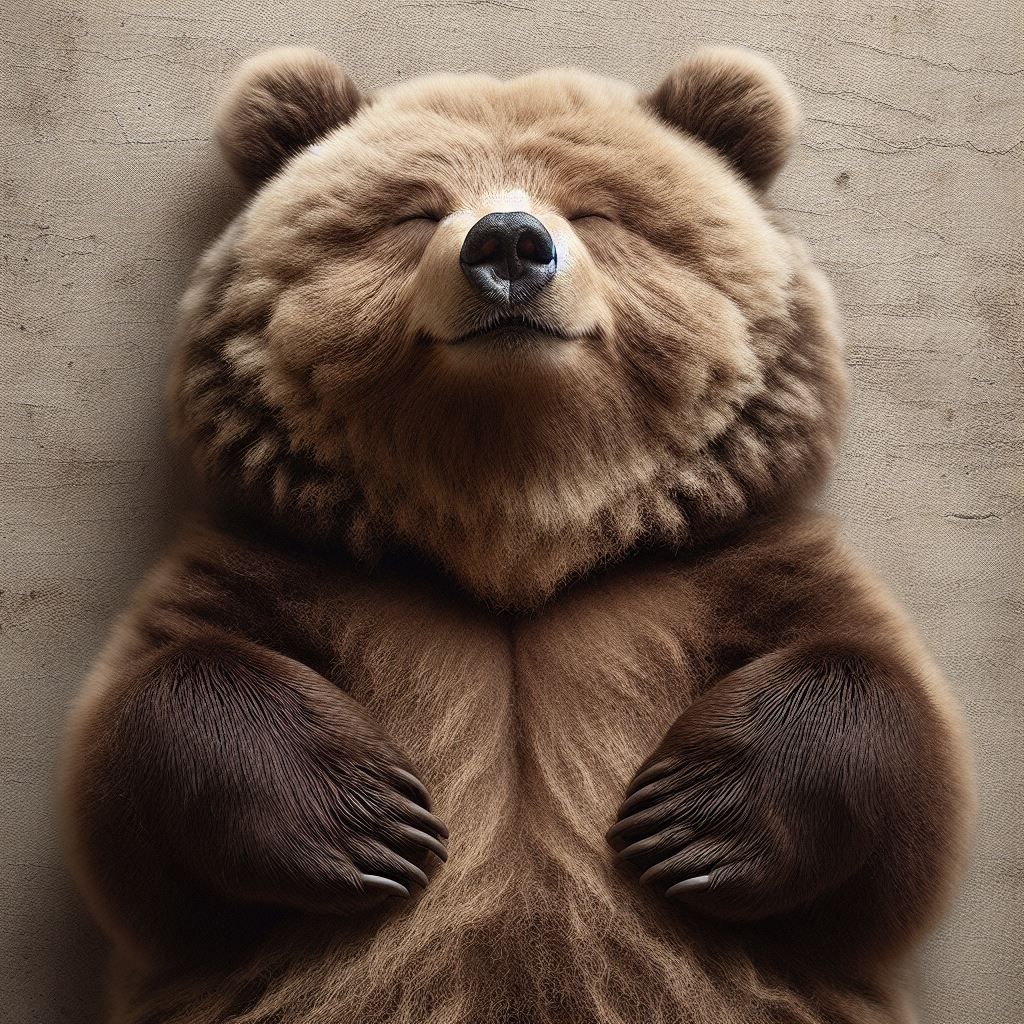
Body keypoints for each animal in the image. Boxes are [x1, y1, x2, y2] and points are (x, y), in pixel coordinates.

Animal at [61, 46, 974, 1024]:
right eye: (414, 212)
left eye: (598, 212)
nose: (506, 244)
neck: (518, 519)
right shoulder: (288, 564)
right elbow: (138, 752)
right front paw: (373, 820)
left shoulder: (720, 565)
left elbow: (899, 747)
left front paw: (684, 819)